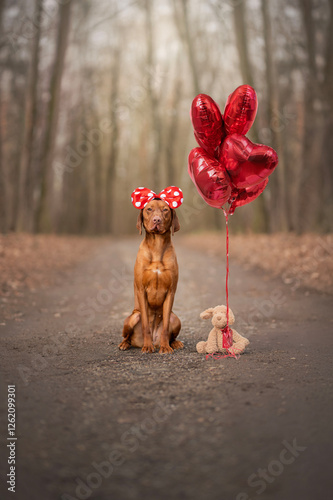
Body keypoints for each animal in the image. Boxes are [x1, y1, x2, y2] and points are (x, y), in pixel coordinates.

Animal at [118, 197, 183, 354]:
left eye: (165, 210)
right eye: (149, 209)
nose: (157, 220)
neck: (157, 246)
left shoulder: (171, 291)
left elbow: (165, 327)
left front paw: (166, 347)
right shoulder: (141, 290)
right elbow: (146, 325)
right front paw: (147, 346)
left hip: (176, 319)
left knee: (171, 330)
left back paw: (174, 343)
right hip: (133, 317)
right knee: (127, 336)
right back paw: (125, 344)